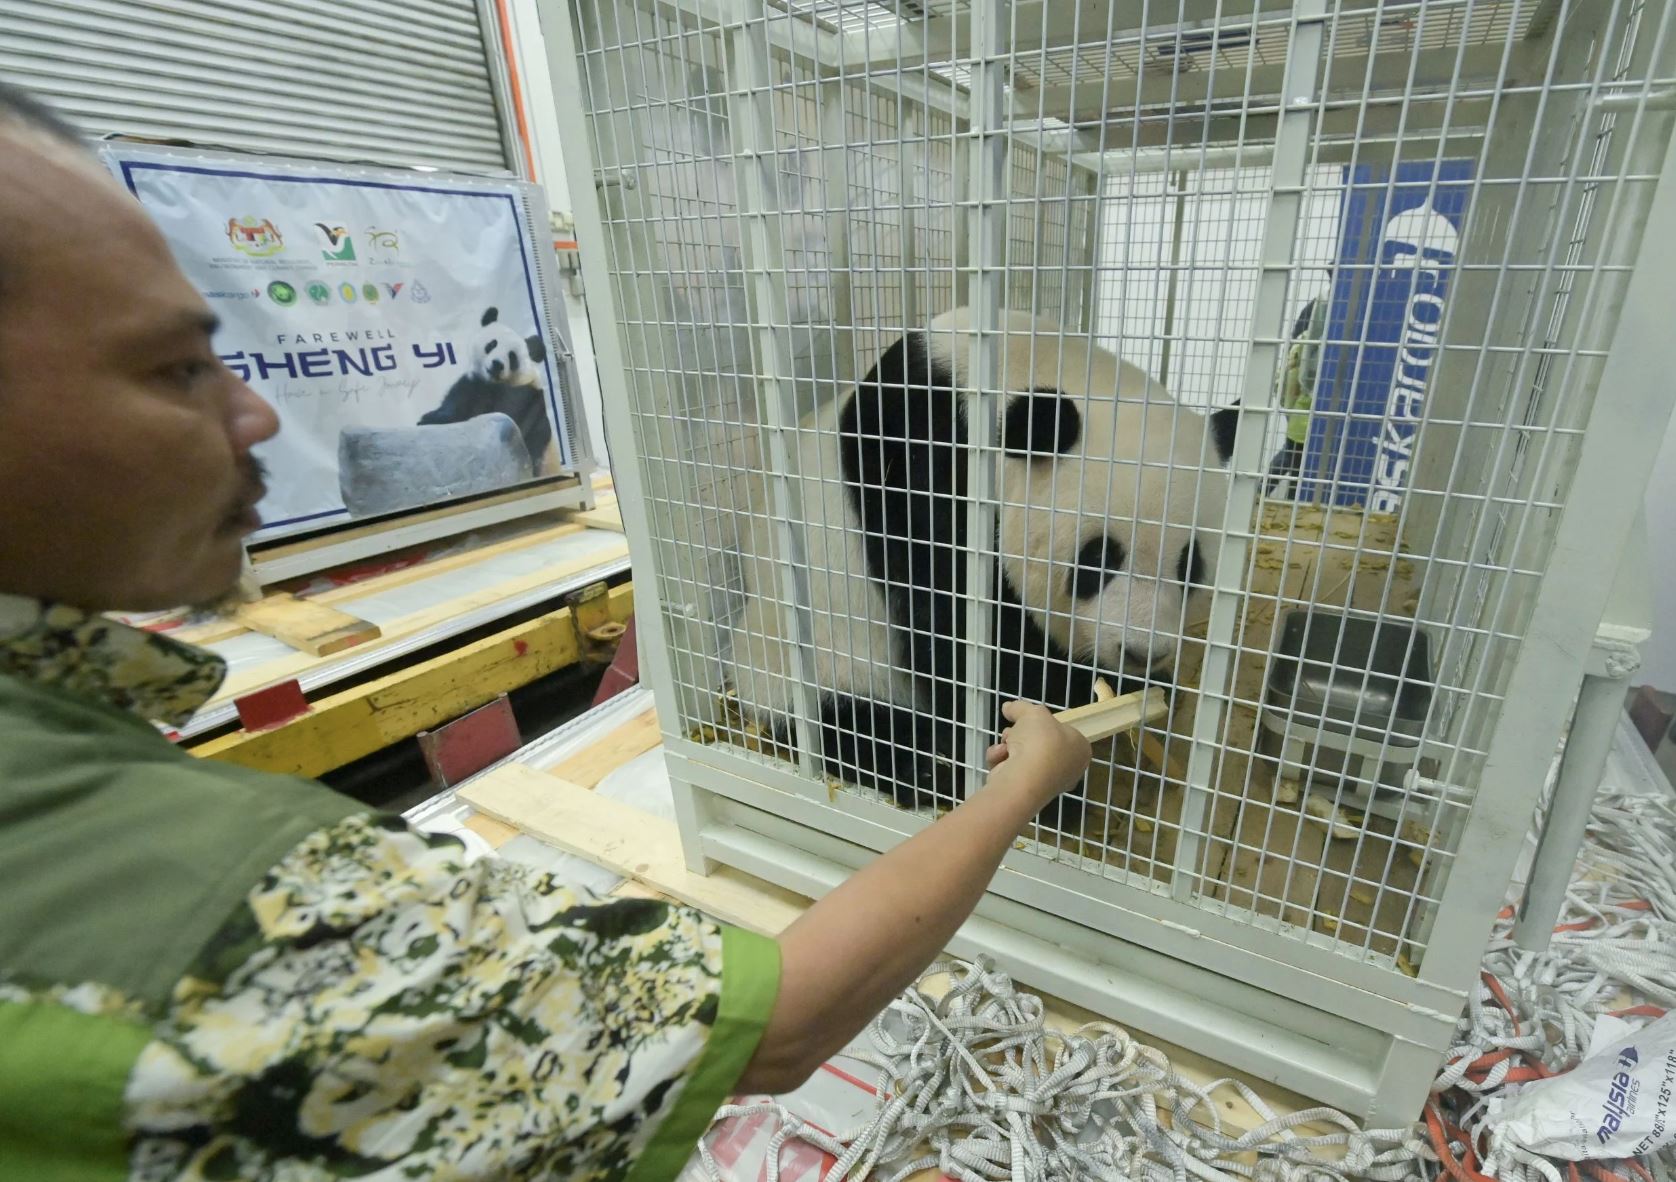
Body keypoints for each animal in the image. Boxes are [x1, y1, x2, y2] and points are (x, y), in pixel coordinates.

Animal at [418, 306, 558, 474]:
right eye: (492, 344)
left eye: (512, 356)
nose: (497, 364)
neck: (495, 384)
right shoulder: (474, 384)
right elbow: (457, 403)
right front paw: (430, 418)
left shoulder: (524, 398)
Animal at [722, 306, 1238, 828]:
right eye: (1098, 558)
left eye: (1190, 565)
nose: (1141, 652)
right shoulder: (920, 467)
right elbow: (956, 625)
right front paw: (1047, 772)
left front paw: (1139, 688)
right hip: (803, 648)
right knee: (839, 714)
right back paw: (922, 765)